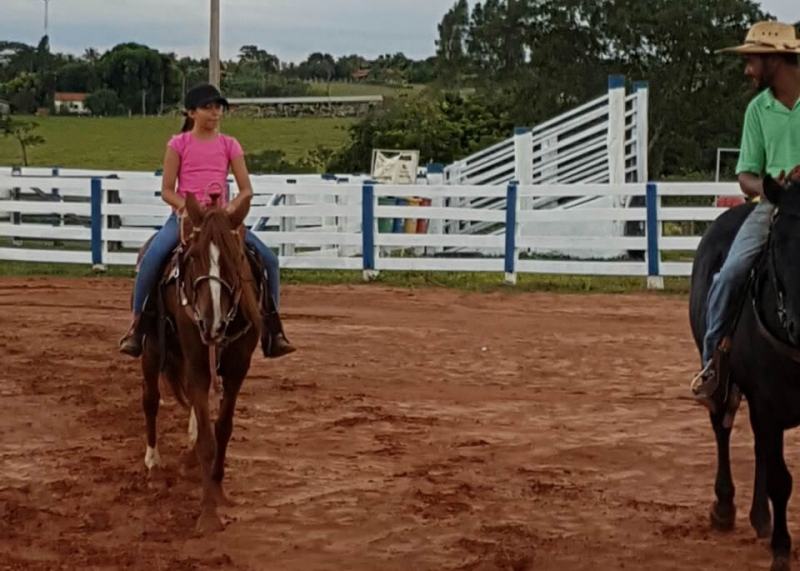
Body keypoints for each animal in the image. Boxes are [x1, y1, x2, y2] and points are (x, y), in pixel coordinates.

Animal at [139, 194, 260, 536]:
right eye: (193, 257)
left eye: (234, 256)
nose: (211, 321)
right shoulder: (195, 360)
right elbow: (208, 439)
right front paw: (208, 514)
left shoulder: (238, 367)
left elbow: (223, 428)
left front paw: (218, 490)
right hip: (151, 349)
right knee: (150, 401)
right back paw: (154, 467)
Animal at [692, 175, 800, 571]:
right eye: (776, 242)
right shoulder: (766, 403)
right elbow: (781, 481)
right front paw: (782, 551)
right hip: (721, 377)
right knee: (721, 425)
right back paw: (725, 507)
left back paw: (760, 518)